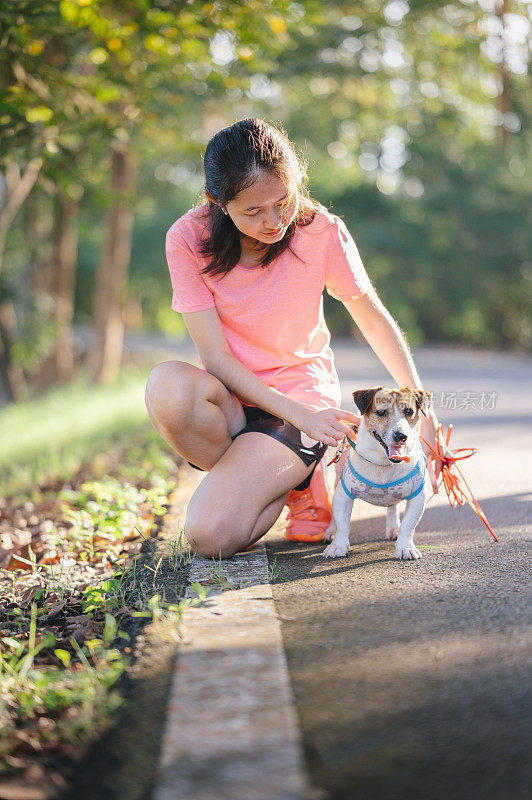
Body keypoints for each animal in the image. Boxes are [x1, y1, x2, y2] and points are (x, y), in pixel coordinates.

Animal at [324, 386, 432, 560]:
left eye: (409, 411)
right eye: (381, 412)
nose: (401, 436)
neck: (383, 463)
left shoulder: (418, 498)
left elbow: (408, 525)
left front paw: (405, 547)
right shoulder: (343, 496)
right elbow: (342, 524)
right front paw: (338, 546)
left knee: (392, 508)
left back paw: (394, 529)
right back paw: (330, 533)